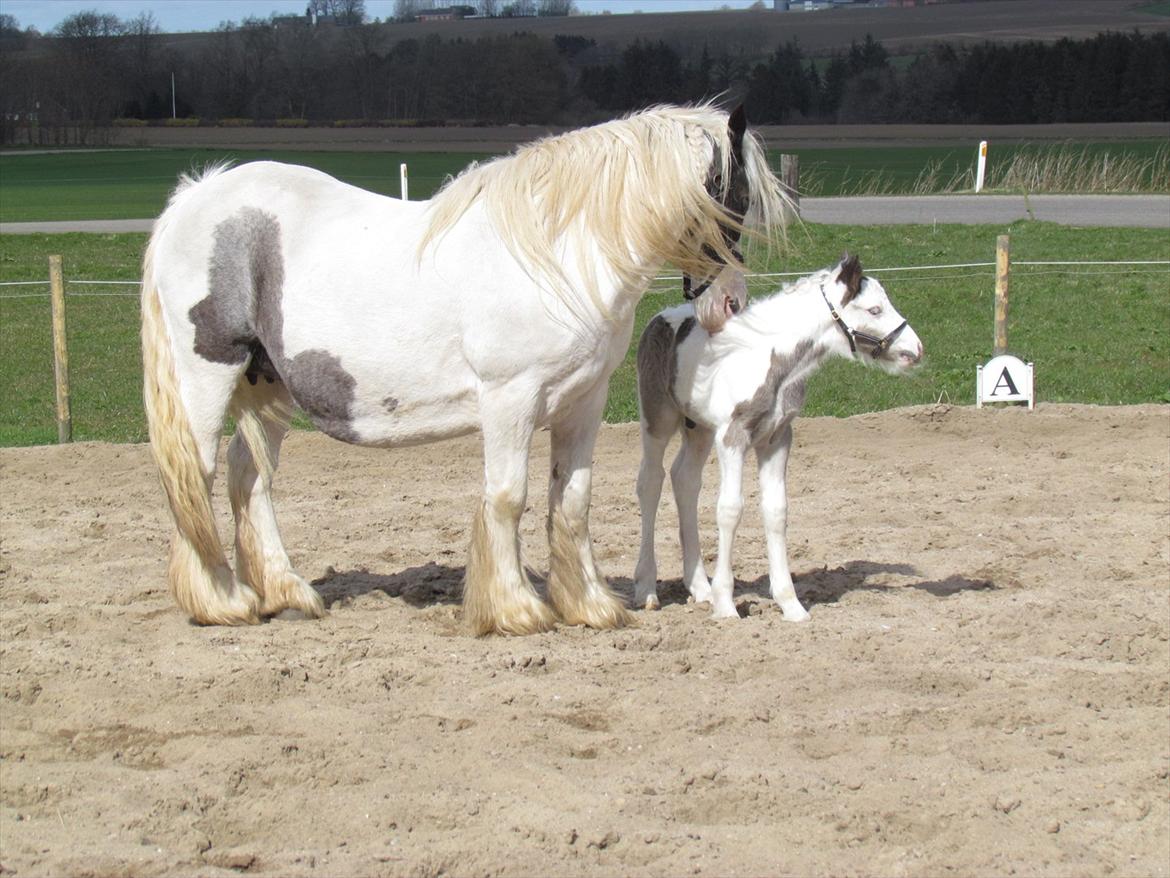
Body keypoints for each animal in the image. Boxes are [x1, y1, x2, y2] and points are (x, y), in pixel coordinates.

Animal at [141, 103, 790, 636]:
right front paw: (515, 610)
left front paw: (589, 606)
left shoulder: (583, 402)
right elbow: (506, 497)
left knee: (249, 476)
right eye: (728, 194)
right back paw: (222, 602)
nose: (728, 303)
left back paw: (286, 594)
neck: (558, 253)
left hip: (266, 384)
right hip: (208, 375)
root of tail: (194, 199)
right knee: (194, 475)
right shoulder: (509, 399)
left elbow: (571, 500)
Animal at [631, 254, 921, 622]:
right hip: (658, 419)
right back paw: (647, 589)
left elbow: (776, 511)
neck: (768, 360)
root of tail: (661, 316)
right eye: (874, 310)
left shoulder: (777, 438)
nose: (916, 349)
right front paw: (726, 605)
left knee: (685, 481)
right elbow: (730, 509)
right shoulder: (733, 437)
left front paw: (790, 604)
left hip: (699, 429)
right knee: (650, 481)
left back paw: (699, 587)